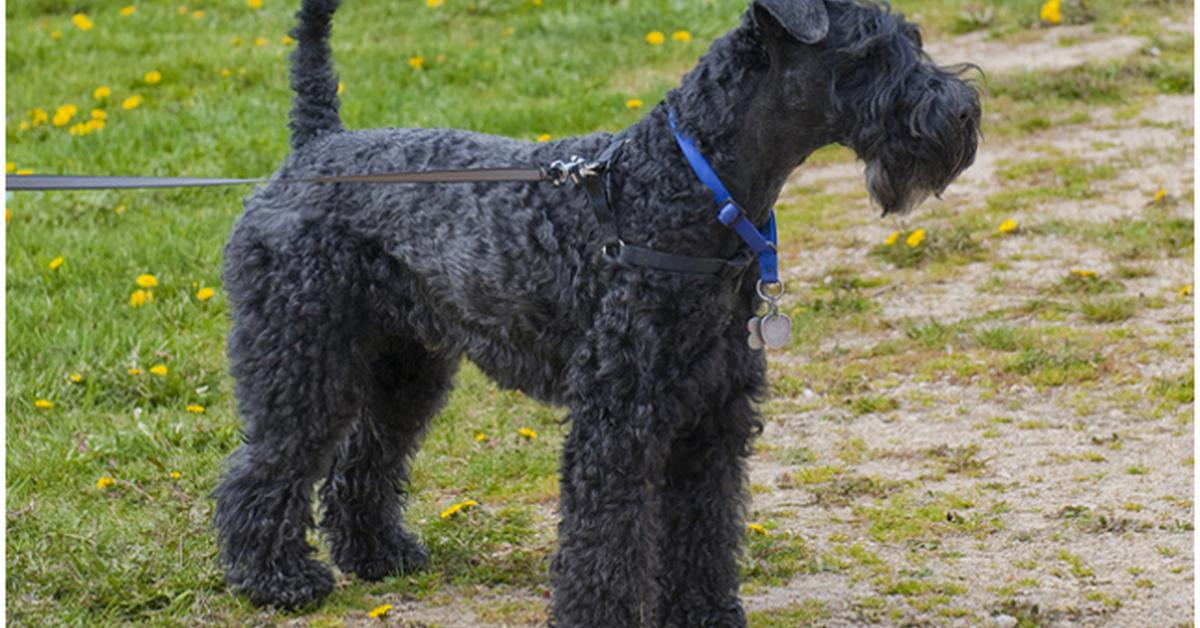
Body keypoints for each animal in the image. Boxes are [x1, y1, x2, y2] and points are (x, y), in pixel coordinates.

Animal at [213, 0, 984, 619]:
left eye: (912, 37)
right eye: (870, 51)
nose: (964, 112)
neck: (681, 189)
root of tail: (314, 148)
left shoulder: (712, 413)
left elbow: (704, 526)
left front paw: (704, 611)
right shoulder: (619, 419)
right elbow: (606, 537)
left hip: (406, 366)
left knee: (365, 456)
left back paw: (379, 554)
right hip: (301, 359)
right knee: (267, 466)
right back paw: (278, 580)